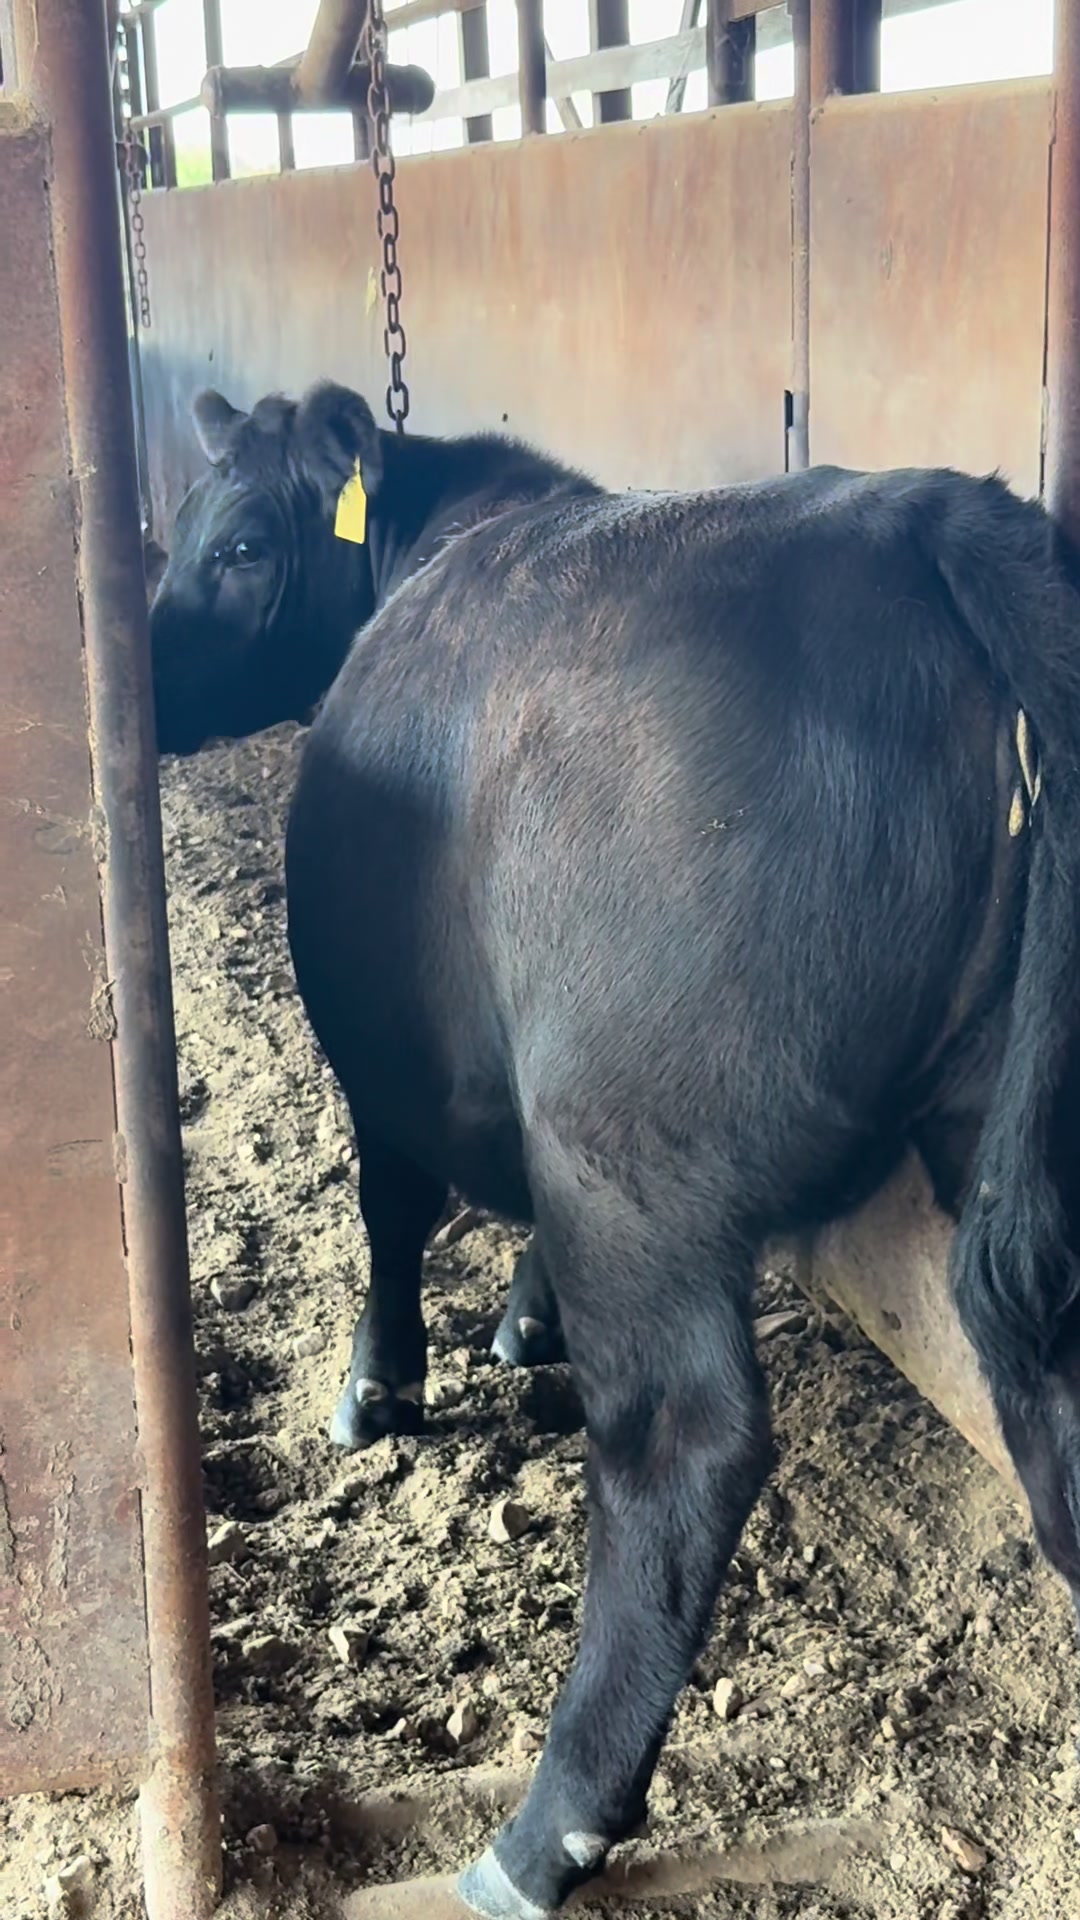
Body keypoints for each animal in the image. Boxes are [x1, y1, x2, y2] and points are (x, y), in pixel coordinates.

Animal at [274, 390, 1080, 1917]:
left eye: (238, 537)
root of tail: (931, 510)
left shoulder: (394, 1067)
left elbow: (391, 1209)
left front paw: (378, 1386)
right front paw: (520, 1324)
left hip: (632, 1161)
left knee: (682, 1444)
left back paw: (544, 1831)